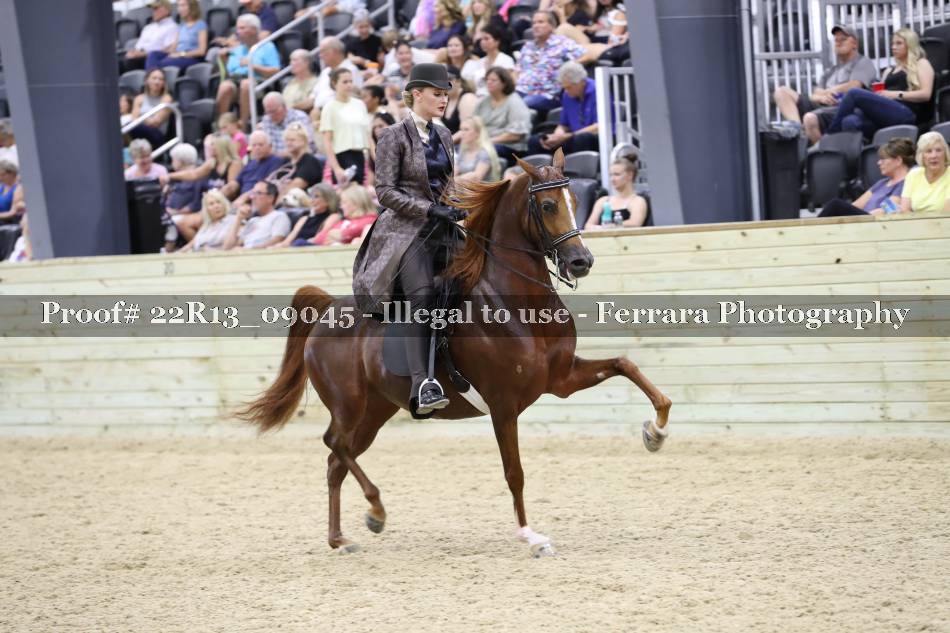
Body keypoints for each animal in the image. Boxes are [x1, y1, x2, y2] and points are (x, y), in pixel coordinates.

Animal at [240, 149, 672, 557]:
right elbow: (514, 472)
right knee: (336, 445)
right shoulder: (503, 405)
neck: (517, 305)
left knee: (335, 462)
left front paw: (655, 432)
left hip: (376, 411)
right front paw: (531, 537)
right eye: (548, 205)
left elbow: (625, 365)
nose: (581, 262)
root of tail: (329, 308)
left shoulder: (561, 379)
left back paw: (341, 538)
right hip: (349, 405)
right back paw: (375, 511)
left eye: (574, 199)